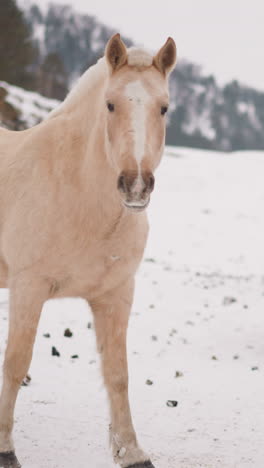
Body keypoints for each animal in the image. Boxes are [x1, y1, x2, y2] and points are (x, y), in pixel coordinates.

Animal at [0, 34, 177, 466]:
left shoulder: (115, 294)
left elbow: (118, 374)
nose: (135, 186)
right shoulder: (28, 288)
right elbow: (15, 364)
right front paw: (6, 448)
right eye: (110, 104)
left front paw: (131, 451)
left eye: (163, 107)